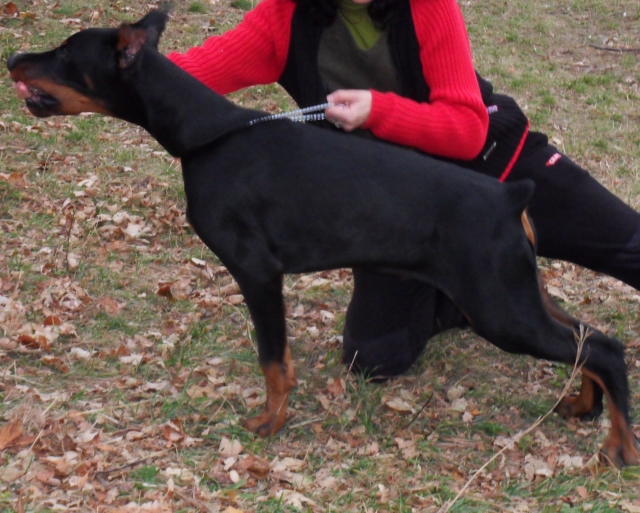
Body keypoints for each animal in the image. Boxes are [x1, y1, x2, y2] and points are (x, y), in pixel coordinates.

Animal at [7, 11, 638, 467]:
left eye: (64, 54)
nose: (13, 57)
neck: (208, 135)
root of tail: (512, 196)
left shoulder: (256, 271)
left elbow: (272, 359)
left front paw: (270, 422)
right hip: (515, 291)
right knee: (592, 338)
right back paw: (583, 407)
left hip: (498, 306)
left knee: (600, 348)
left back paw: (619, 446)